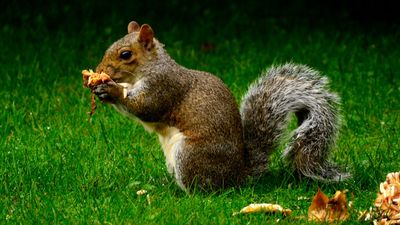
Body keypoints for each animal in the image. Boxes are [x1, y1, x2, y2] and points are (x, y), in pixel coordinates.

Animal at [88, 21, 350, 191]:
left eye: (125, 54)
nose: (100, 70)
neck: (150, 68)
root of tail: (237, 176)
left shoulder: (164, 87)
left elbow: (145, 107)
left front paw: (111, 89)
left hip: (190, 154)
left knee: (204, 188)